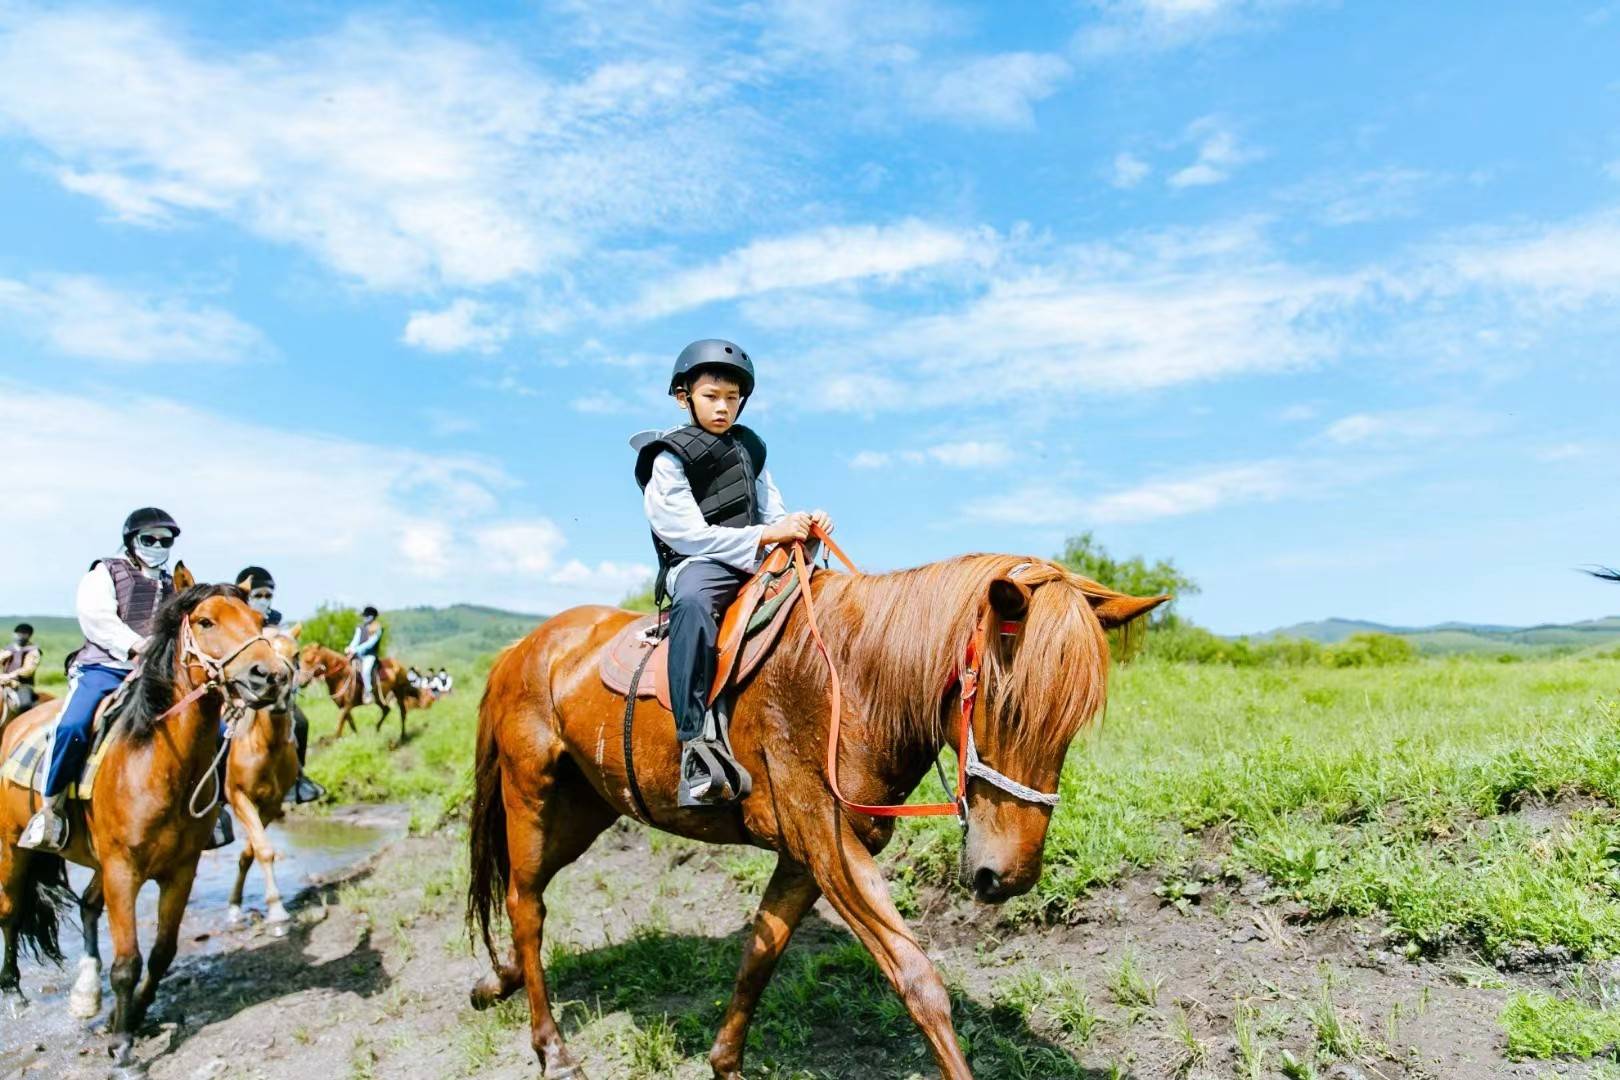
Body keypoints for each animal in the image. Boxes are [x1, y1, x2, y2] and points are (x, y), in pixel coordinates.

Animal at [225, 628, 304, 926]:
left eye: (296, 654)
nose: (279, 691)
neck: (265, 745)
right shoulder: (238, 797)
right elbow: (261, 849)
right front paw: (276, 908)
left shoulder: (271, 804)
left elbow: (253, 851)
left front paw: (237, 905)